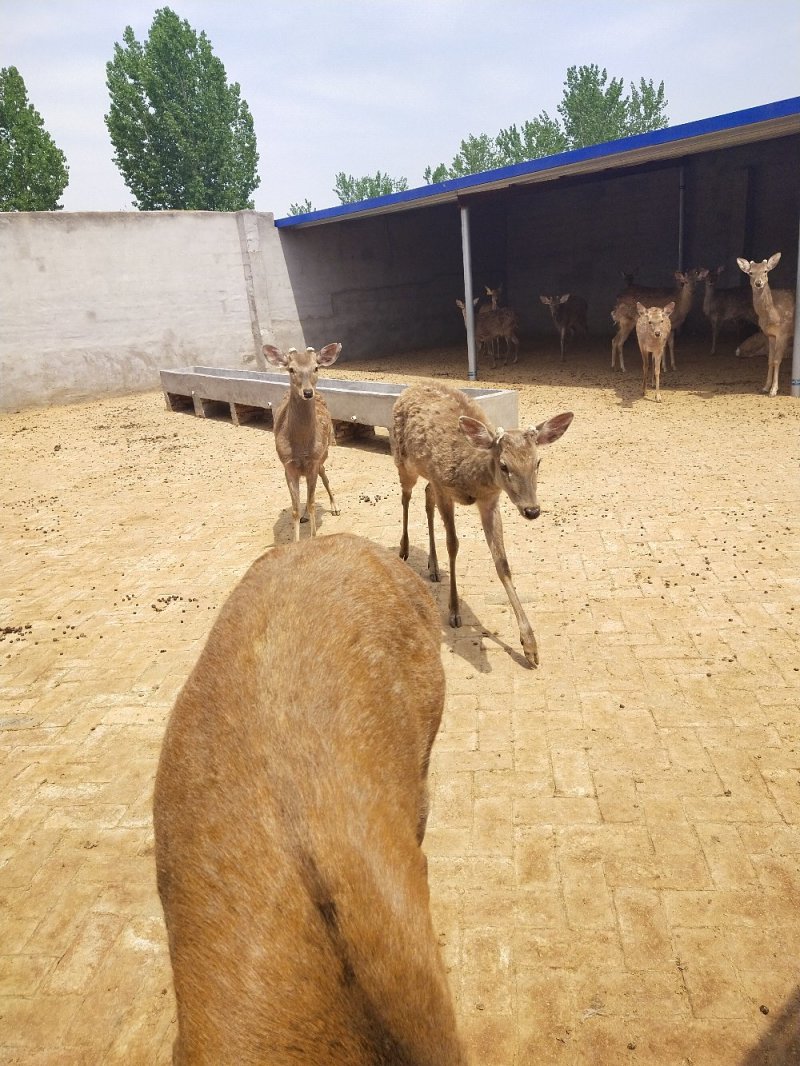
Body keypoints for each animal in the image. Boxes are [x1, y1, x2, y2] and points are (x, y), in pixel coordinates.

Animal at [263, 342, 341, 540]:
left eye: (316, 367)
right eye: (291, 369)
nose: (307, 392)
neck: (301, 447)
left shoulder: (313, 461)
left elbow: (313, 504)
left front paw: (313, 537)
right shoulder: (288, 465)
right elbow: (295, 510)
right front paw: (296, 540)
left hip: (324, 453)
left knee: (324, 476)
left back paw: (335, 507)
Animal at [391, 381, 573, 668]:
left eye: (538, 462)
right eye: (504, 465)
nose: (532, 510)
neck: (473, 481)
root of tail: (410, 388)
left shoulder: (489, 501)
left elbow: (502, 563)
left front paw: (530, 646)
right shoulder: (445, 488)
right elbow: (453, 545)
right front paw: (454, 611)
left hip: (427, 476)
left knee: (426, 497)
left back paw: (433, 566)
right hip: (402, 459)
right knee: (406, 496)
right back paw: (404, 549)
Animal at [736, 252, 796, 397]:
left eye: (765, 271)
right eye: (751, 273)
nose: (758, 283)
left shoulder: (783, 332)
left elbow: (777, 360)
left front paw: (773, 390)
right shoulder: (770, 335)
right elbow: (769, 360)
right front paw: (765, 387)